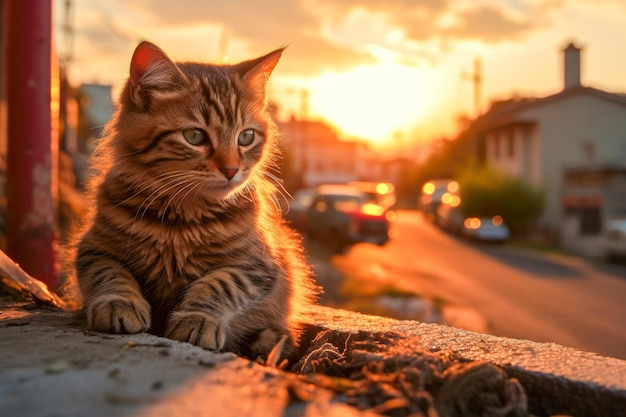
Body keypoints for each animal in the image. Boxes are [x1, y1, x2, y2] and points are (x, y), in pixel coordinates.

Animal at [72, 40, 316, 356]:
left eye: (246, 137)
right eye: (195, 136)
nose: (231, 170)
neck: (181, 216)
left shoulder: (258, 265)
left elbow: (219, 283)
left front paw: (197, 319)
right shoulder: (93, 247)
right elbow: (110, 273)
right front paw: (118, 302)